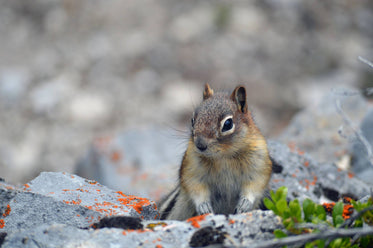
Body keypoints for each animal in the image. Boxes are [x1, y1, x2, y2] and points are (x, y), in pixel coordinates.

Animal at [158, 84, 272, 220]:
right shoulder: (191, 166)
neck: (224, 156)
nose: (200, 145)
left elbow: (255, 185)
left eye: (228, 124)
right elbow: (194, 186)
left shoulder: (259, 165)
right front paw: (204, 206)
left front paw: (245, 203)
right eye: (193, 120)